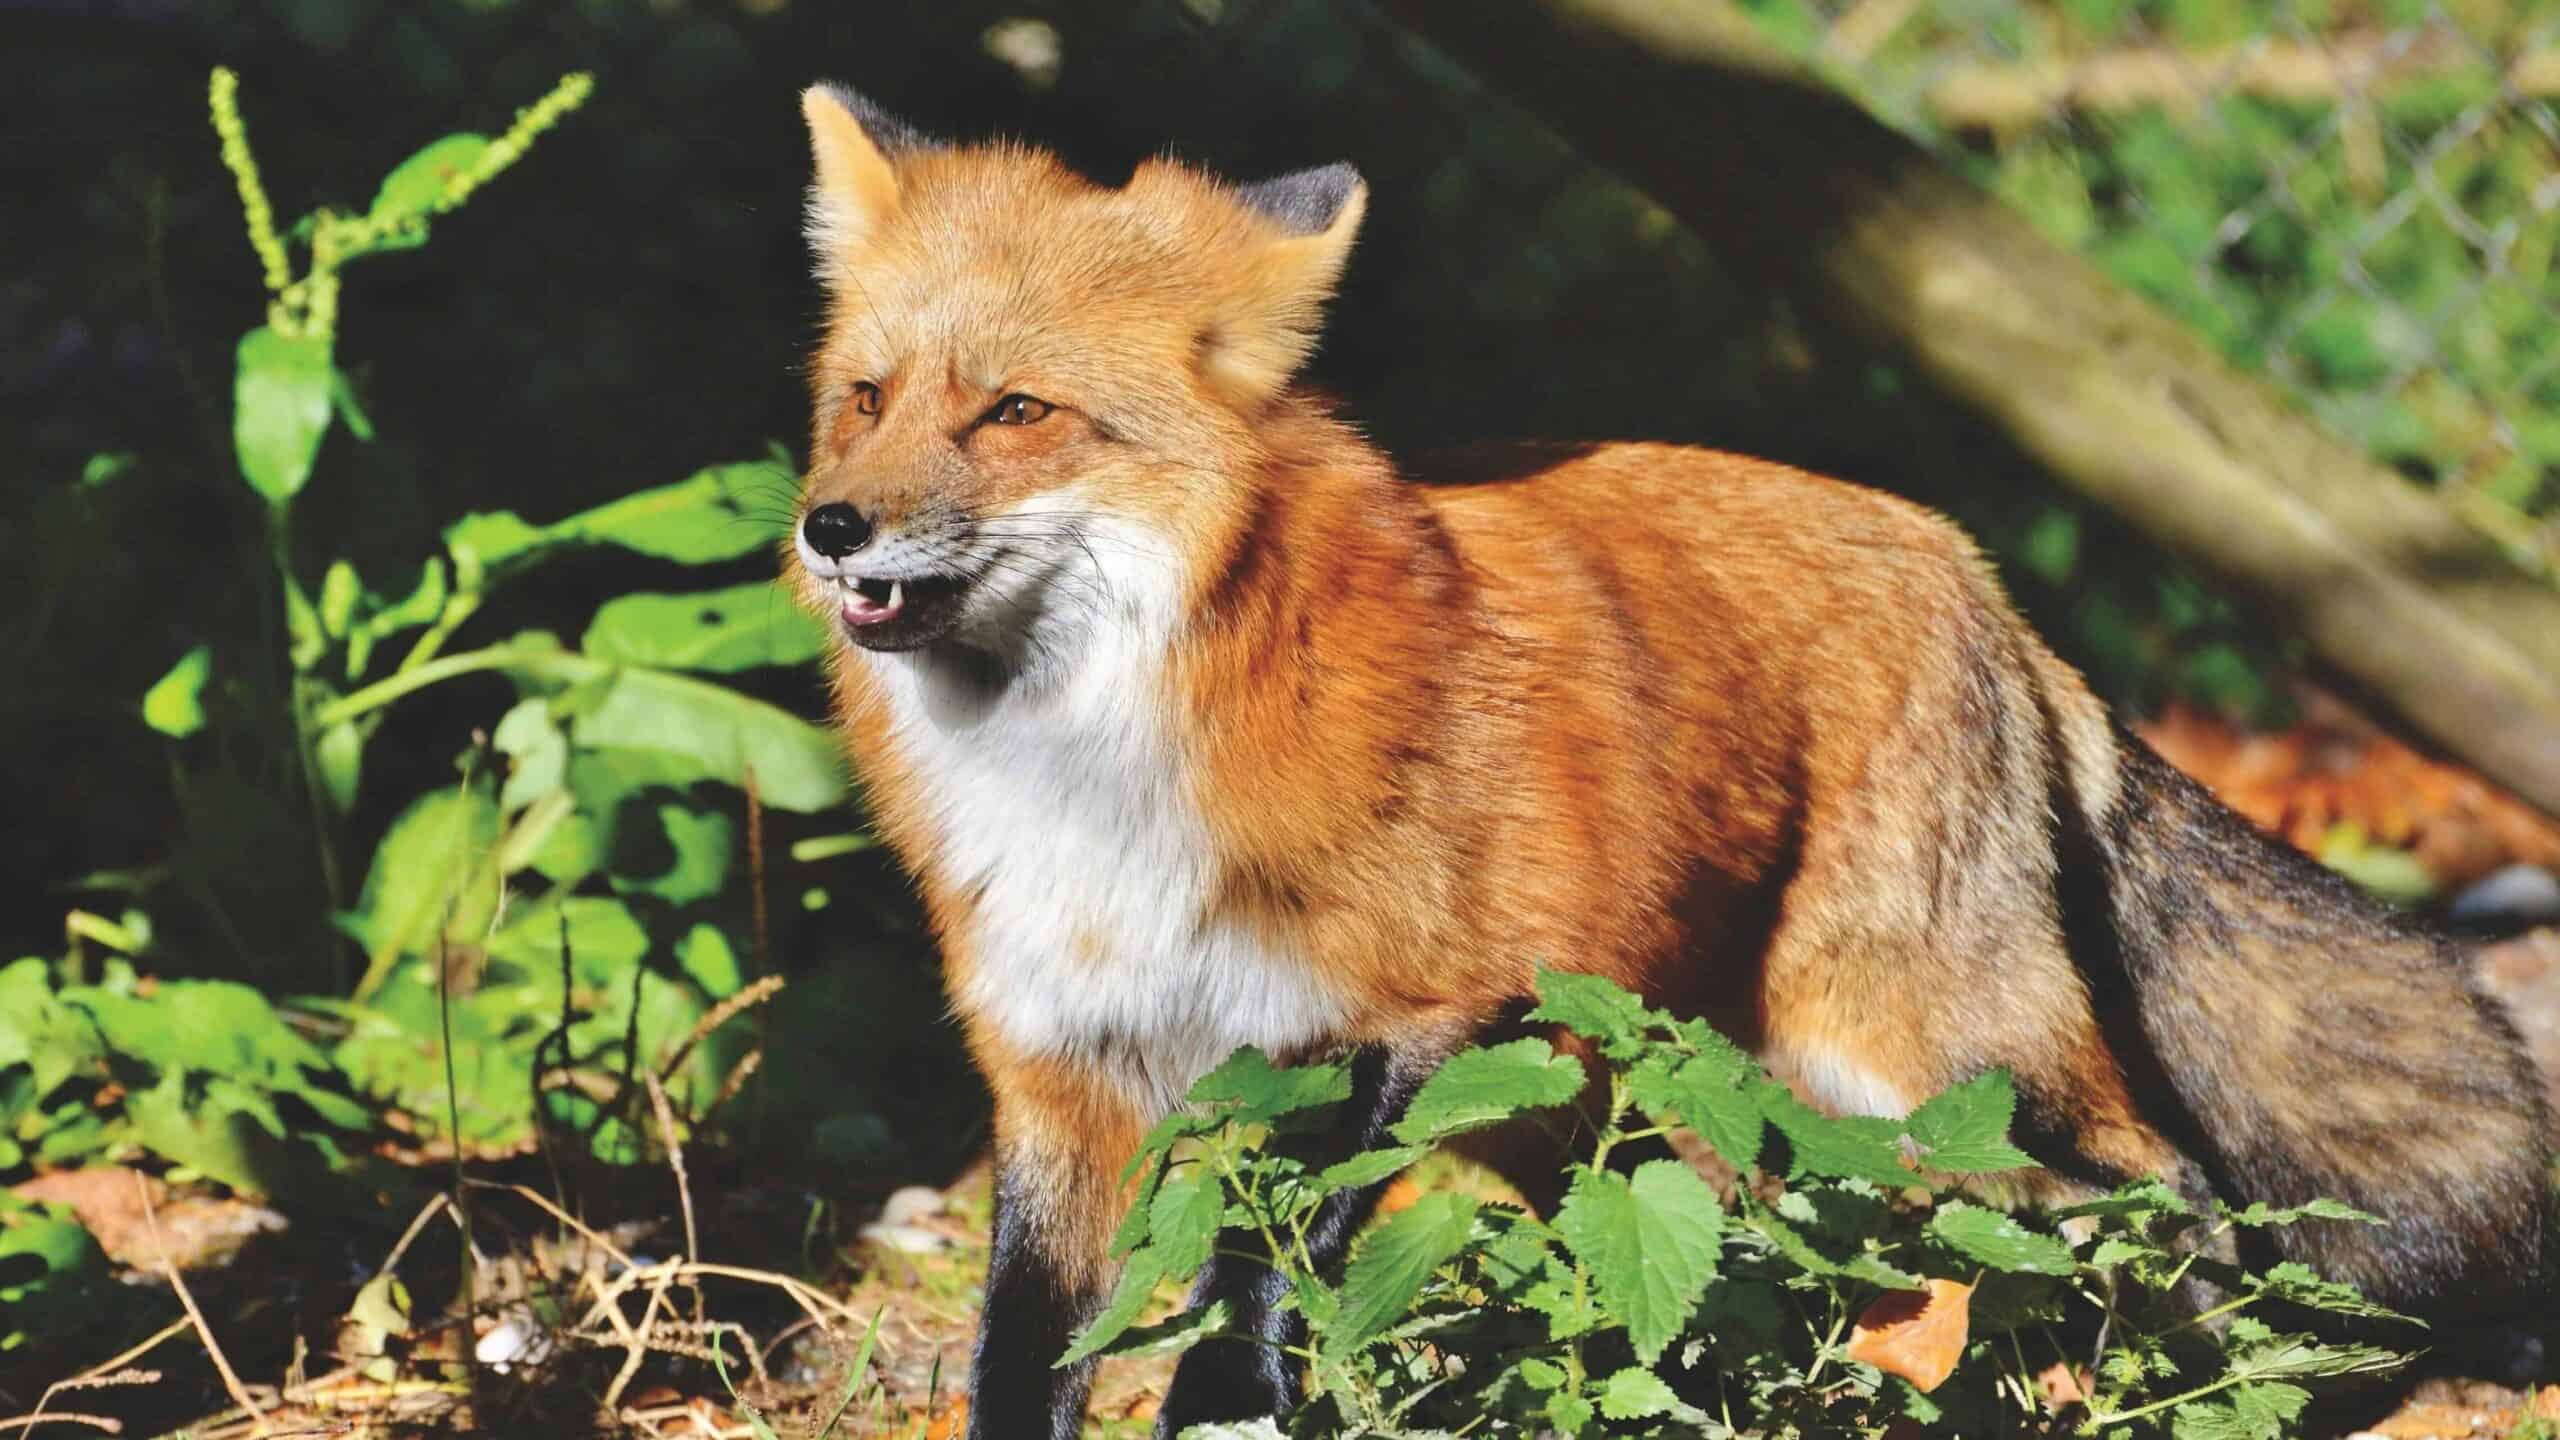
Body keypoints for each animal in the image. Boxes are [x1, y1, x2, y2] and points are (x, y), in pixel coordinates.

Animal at [782, 85, 2552, 1438]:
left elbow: (1252, 1296)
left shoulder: (1399, 1020)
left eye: (1018, 411)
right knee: (1764, 1257)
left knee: (2168, 1194)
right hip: (1633, 1097)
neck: (1092, 776)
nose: (829, 526)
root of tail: (1971, 563)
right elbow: (1027, 1360)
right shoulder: (1059, 1080)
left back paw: (2172, 1389)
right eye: (865, 396)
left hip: (1921, 1053)